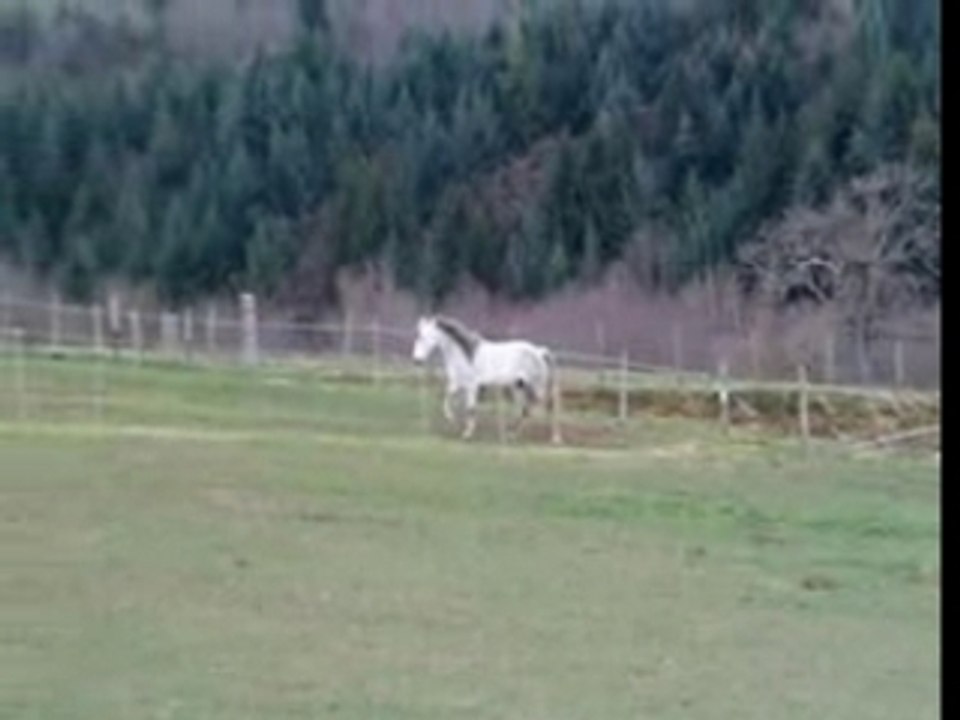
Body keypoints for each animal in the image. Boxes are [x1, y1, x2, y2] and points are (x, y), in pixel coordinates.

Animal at [411, 315, 559, 442]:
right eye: (418, 336)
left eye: (423, 337)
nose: (417, 360)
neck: (465, 356)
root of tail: (539, 351)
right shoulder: (457, 384)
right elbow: (447, 399)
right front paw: (452, 419)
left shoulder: (472, 387)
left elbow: (470, 408)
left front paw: (467, 434)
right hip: (518, 387)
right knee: (523, 409)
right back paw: (511, 434)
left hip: (536, 387)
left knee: (544, 406)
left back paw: (554, 438)